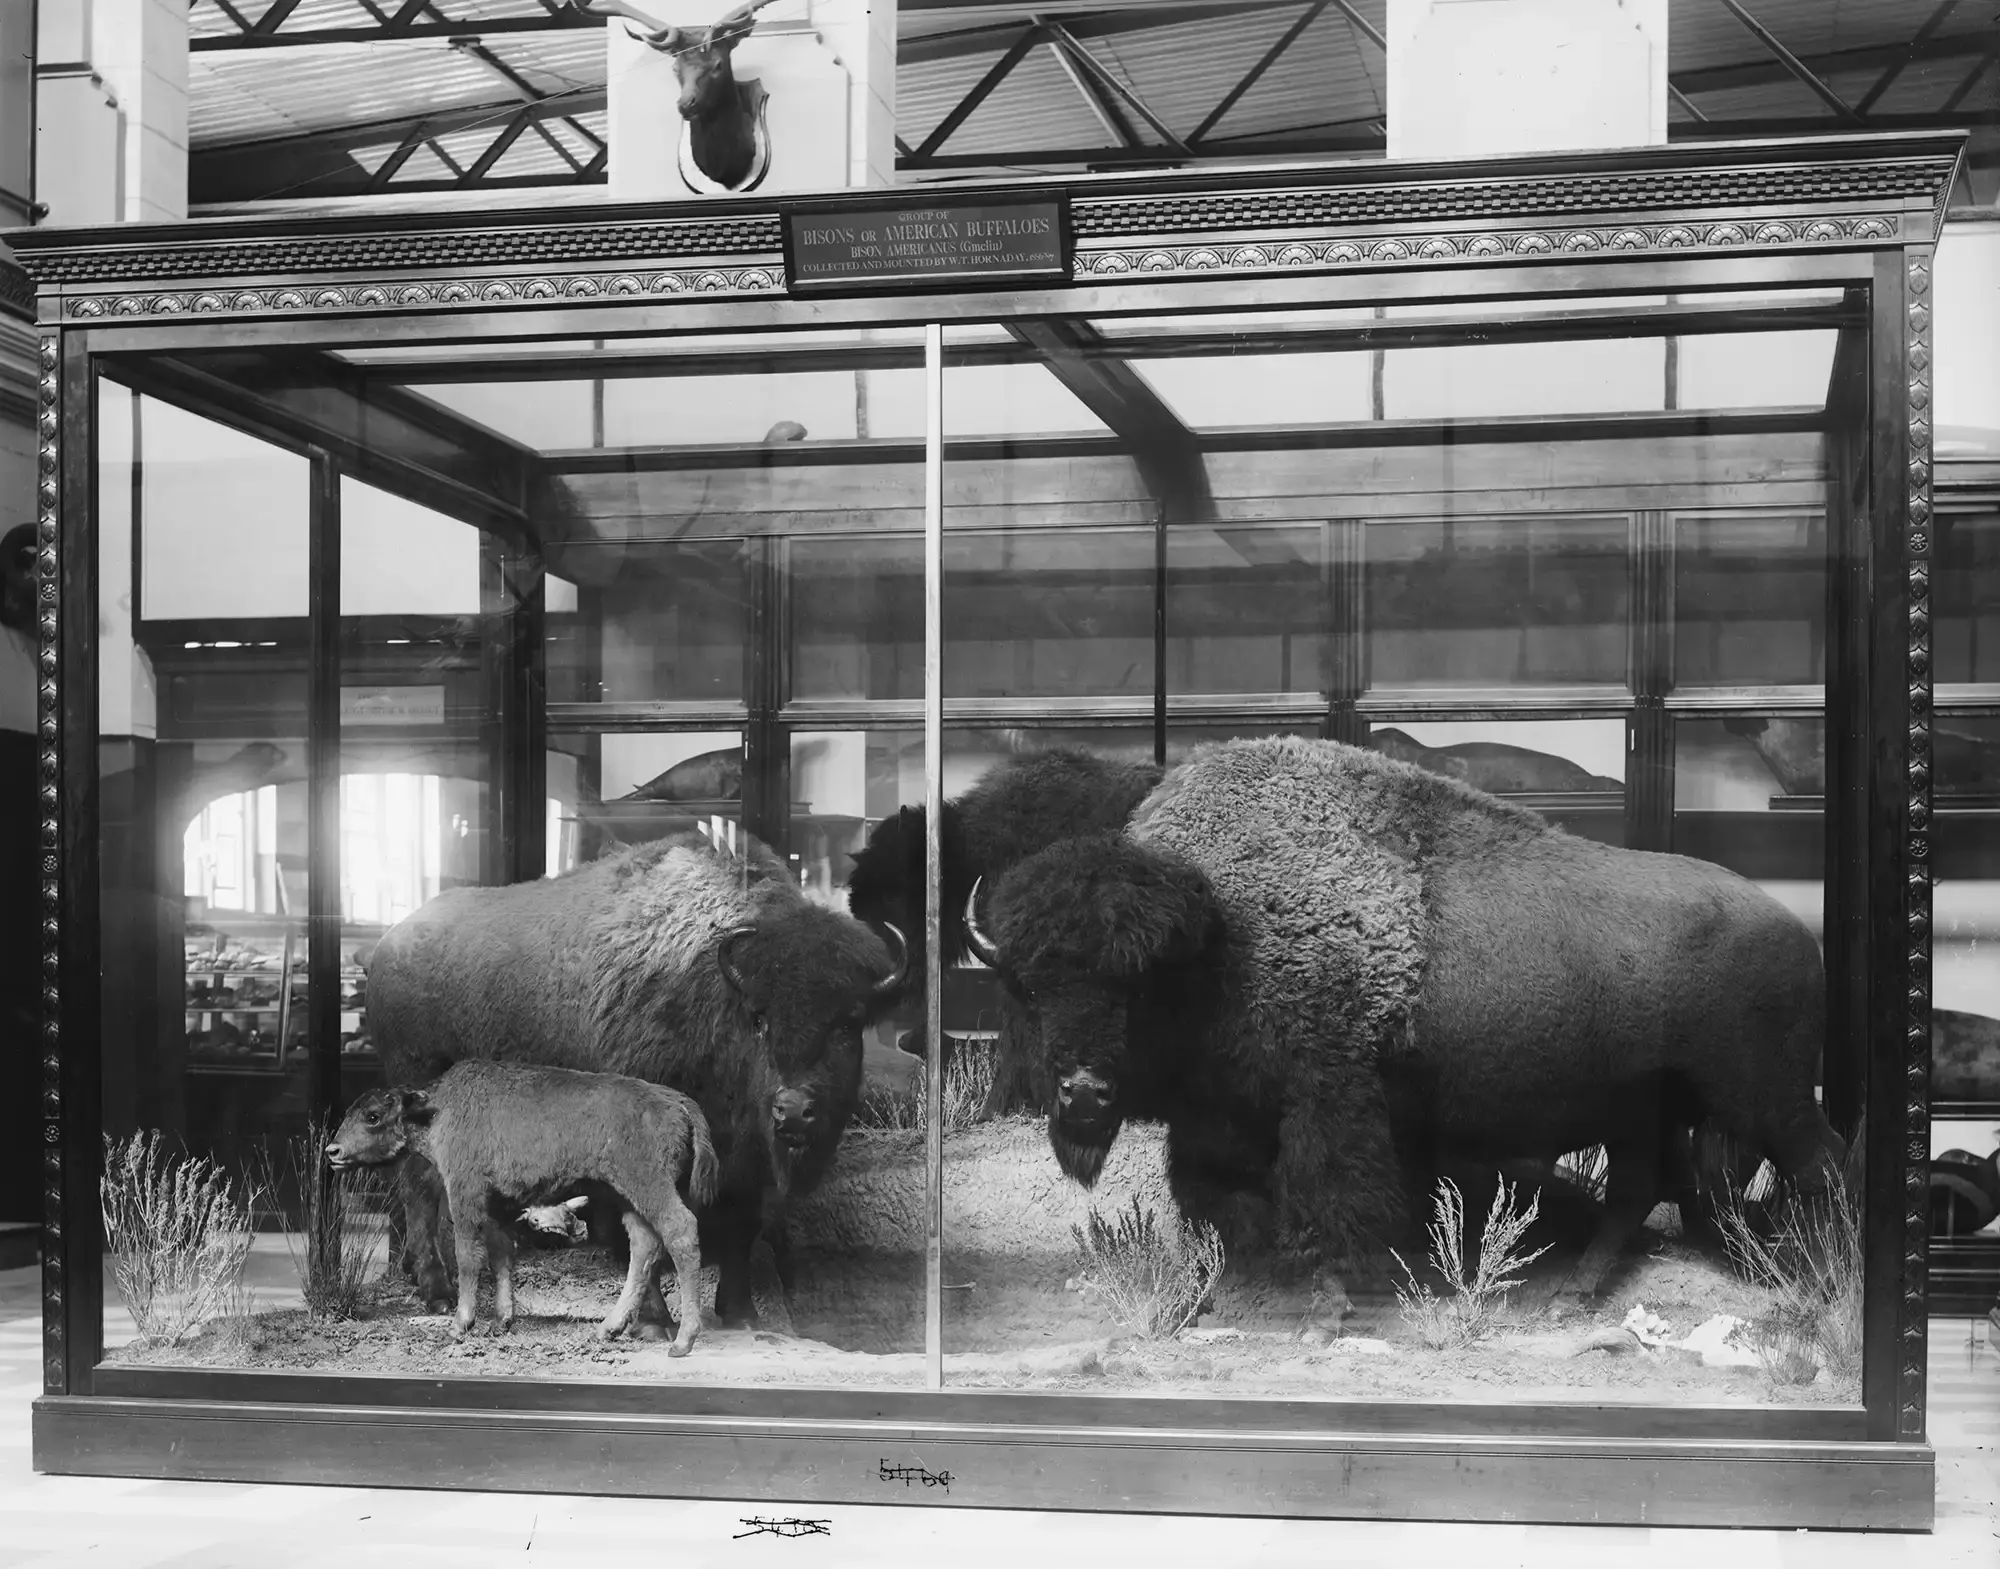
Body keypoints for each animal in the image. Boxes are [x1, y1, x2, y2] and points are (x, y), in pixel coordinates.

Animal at [332, 1064, 724, 1360]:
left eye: (373, 1116)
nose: (333, 1151)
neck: (437, 1110)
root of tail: (678, 1100)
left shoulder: (466, 1194)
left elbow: (468, 1256)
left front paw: (461, 1325)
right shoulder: (498, 1207)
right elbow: (502, 1255)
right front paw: (500, 1322)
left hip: (649, 1187)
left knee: (679, 1232)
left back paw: (682, 1341)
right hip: (628, 1197)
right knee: (644, 1246)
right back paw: (608, 1329)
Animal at [370, 832, 908, 1320]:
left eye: (848, 1023)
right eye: (759, 1019)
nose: (793, 1110)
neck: (712, 987)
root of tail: (388, 945)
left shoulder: (743, 1163)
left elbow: (740, 1224)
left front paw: (739, 1311)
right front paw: (652, 1313)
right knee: (419, 1187)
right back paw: (436, 1290)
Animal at [968, 736, 1840, 1296]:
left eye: (1137, 986)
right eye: (1030, 985)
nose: (1083, 1093)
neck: (1218, 933)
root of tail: (1800, 933)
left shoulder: (1327, 1094)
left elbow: (1329, 1193)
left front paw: (1336, 1289)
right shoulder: (1217, 1116)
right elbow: (1212, 1194)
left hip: (1767, 1099)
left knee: (1822, 1165)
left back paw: (1820, 1276)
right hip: (1651, 1108)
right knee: (1642, 1188)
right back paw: (1584, 1290)